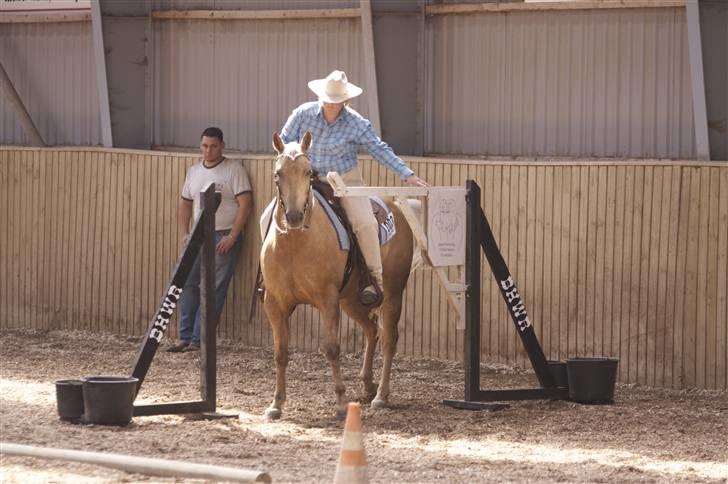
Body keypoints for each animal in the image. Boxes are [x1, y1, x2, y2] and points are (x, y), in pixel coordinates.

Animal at [260, 132, 416, 420]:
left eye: (308, 172)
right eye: (278, 174)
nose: (294, 216)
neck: (296, 244)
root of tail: (395, 208)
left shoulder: (328, 301)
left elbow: (332, 349)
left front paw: (342, 404)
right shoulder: (274, 303)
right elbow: (280, 352)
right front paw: (276, 404)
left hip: (392, 293)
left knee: (389, 338)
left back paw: (381, 396)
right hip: (353, 300)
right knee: (371, 330)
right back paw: (368, 385)